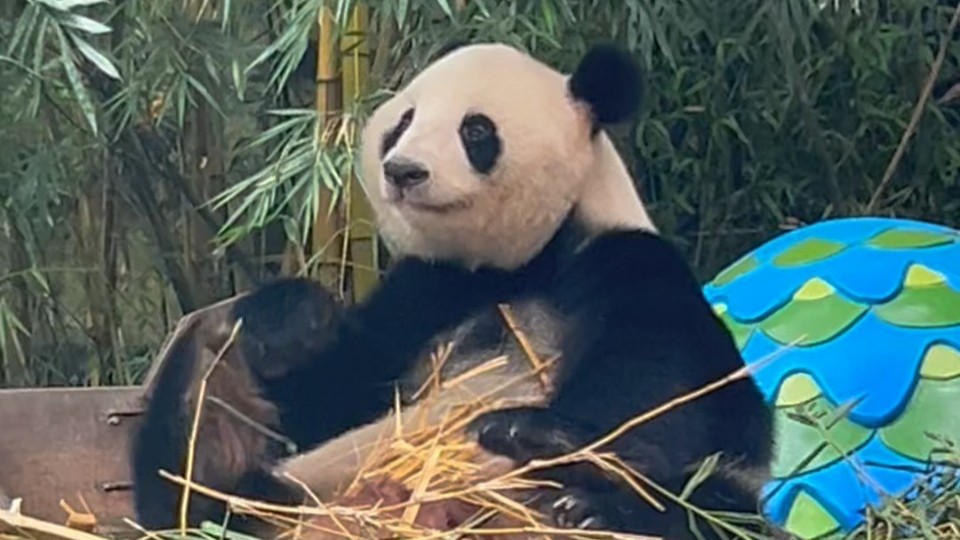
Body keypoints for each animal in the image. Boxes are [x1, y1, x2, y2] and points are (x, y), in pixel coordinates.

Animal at [129, 41, 772, 540]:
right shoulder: (429, 289)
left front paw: (537, 434)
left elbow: (664, 380)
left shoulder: (624, 260)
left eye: (476, 130)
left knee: (712, 505)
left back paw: (585, 507)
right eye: (403, 122)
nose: (402, 170)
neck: (518, 262)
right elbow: (330, 393)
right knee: (195, 485)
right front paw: (293, 321)